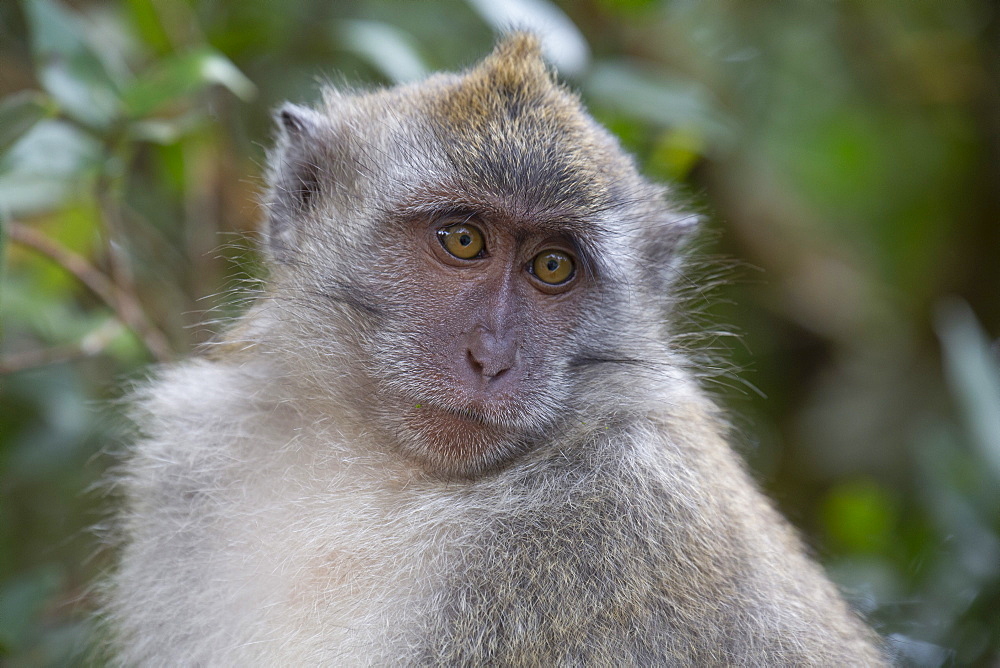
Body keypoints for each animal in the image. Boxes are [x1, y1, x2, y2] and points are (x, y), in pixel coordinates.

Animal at [103, 32, 884, 668]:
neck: (387, 473)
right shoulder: (197, 454)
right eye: (463, 239)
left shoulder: (615, 518)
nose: (491, 358)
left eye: (553, 267)